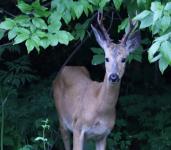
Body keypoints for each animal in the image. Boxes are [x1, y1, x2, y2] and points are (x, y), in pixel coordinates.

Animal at [52, 12, 141, 150]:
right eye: (106, 58)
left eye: (124, 59)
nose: (113, 77)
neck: (99, 110)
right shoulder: (78, 127)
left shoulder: (103, 135)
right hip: (62, 118)